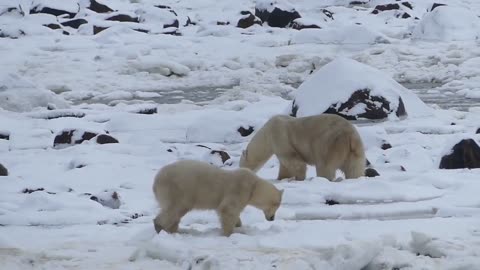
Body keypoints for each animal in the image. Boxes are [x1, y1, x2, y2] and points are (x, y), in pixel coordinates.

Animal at [238, 114, 366, 181]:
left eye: (240, 165)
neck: (266, 133)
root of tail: (350, 136)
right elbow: (285, 167)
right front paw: (281, 178)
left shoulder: (280, 138)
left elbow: (295, 162)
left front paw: (298, 178)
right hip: (354, 150)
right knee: (354, 168)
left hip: (329, 143)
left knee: (325, 166)